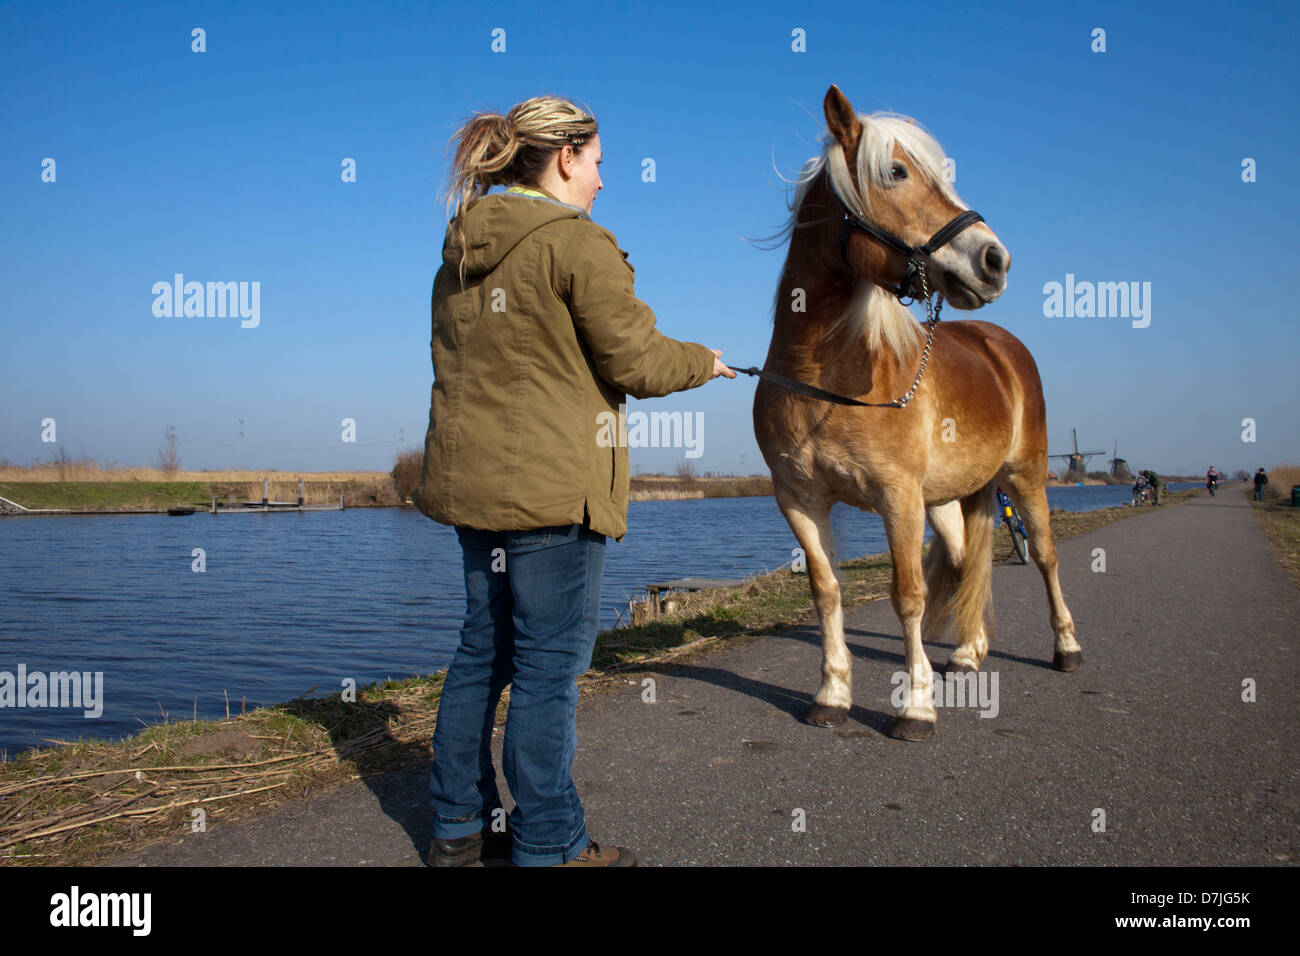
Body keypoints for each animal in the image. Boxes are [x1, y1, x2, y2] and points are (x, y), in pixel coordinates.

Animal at [748, 83, 1081, 738]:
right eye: (897, 172)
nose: (994, 260)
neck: (822, 378)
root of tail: (1001, 345)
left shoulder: (896, 497)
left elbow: (909, 594)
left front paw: (916, 706)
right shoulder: (799, 500)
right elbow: (826, 592)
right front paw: (832, 694)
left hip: (1025, 476)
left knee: (1046, 556)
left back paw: (1067, 648)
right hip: (950, 498)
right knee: (964, 557)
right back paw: (968, 651)